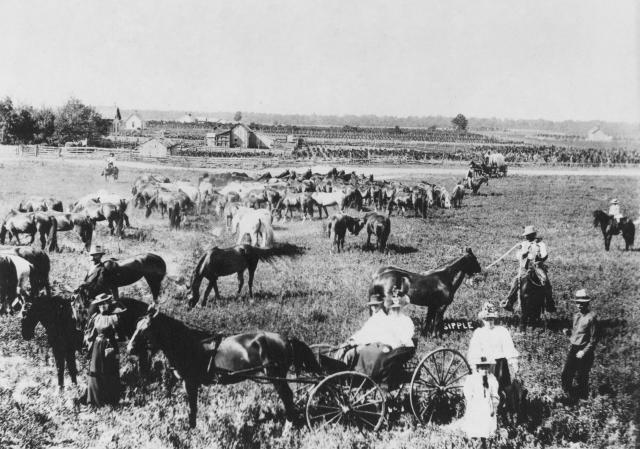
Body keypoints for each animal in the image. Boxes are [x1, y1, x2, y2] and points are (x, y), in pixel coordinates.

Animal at [127, 308, 322, 428]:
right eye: (136, 326)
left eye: (145, 329)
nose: (129, 348)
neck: (189, 345)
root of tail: (286, 339)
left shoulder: (190, 383)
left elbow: (192, 408)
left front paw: (191, 430)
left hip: (277, 376)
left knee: (287, 396)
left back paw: (290, 425)